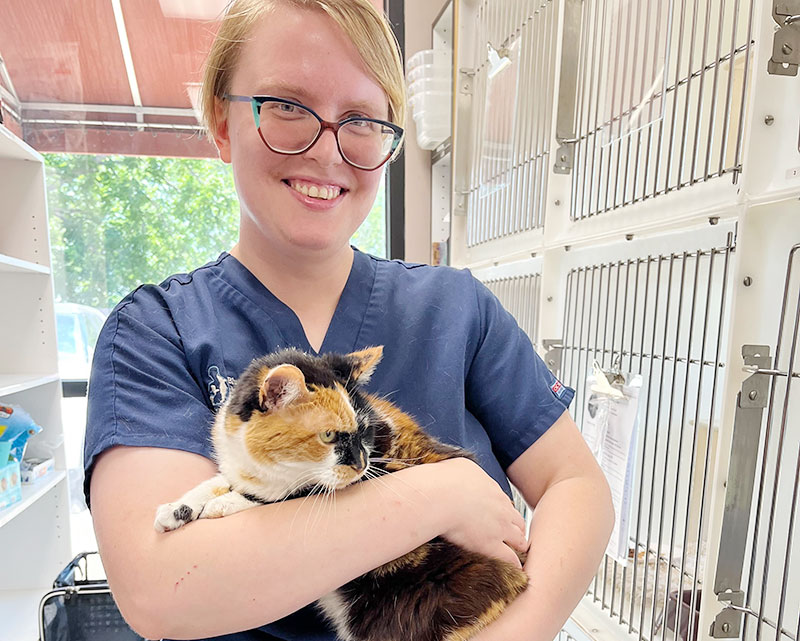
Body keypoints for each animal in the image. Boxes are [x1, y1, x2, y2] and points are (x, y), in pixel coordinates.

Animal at [156, 348, 532, 636]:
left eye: (364, 430)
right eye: (328, 436)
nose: (362, 463)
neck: (263, 470)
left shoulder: (382, 469)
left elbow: (288, 494)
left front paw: (222, 505)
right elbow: (214, 482)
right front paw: (176, 510)